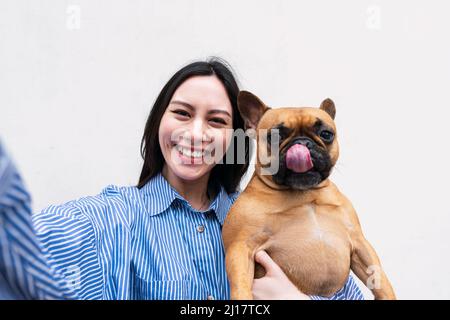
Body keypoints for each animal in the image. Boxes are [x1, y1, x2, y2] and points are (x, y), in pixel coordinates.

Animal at [223, 90, 396, 300]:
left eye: (326, 134)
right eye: (275, 136)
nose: (302, 143)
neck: (304, 194)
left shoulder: (359, 242)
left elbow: (378, 276)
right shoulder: (240, 247)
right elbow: (241, 286)